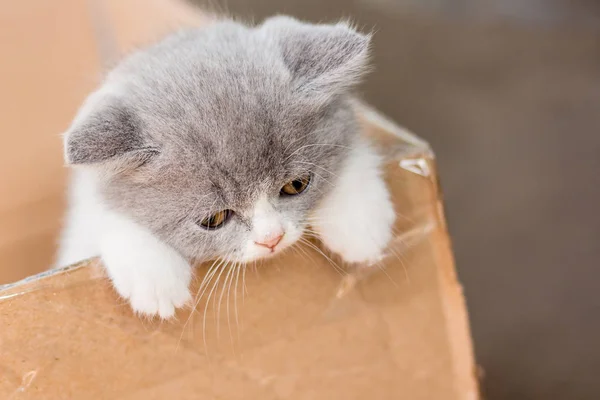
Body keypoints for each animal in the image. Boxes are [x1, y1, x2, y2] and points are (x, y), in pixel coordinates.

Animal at [55, 16, 394, 318]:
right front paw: (155, 276)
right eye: (213, 220)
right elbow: (100, 215)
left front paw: (359, 224)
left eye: (296, 185)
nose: (271, 239)